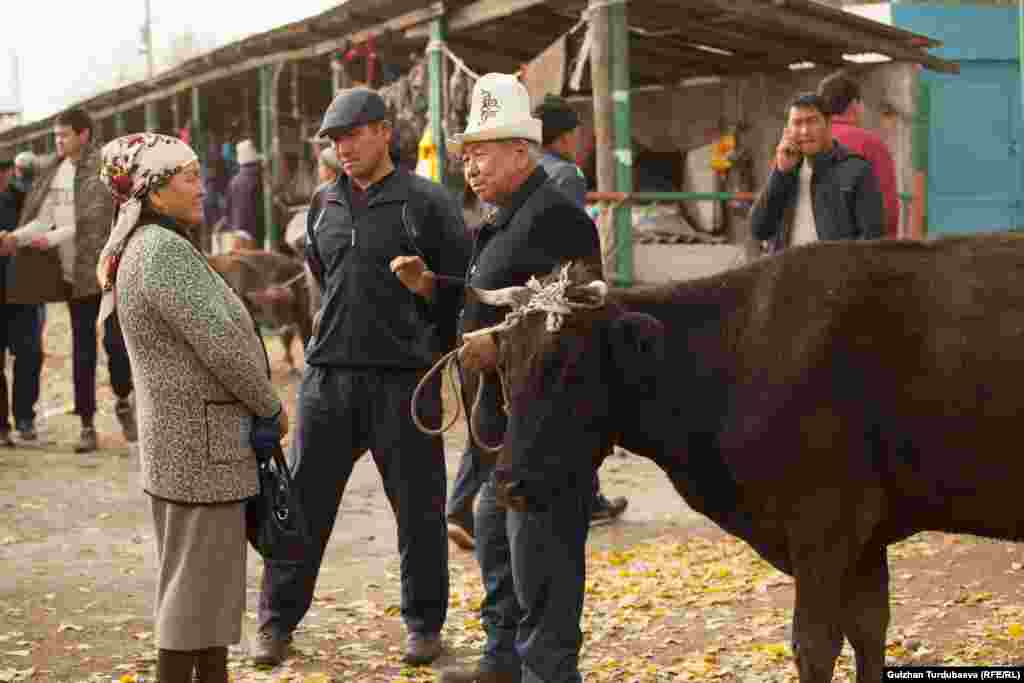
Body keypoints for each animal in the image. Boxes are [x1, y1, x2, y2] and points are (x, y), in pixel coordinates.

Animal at [473, 235, 1024, 683]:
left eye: (566, 365)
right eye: (504, 364)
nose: (508, 483)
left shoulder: (824, 524)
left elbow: (815, 646)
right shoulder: (866, 536)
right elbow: (869, 632)